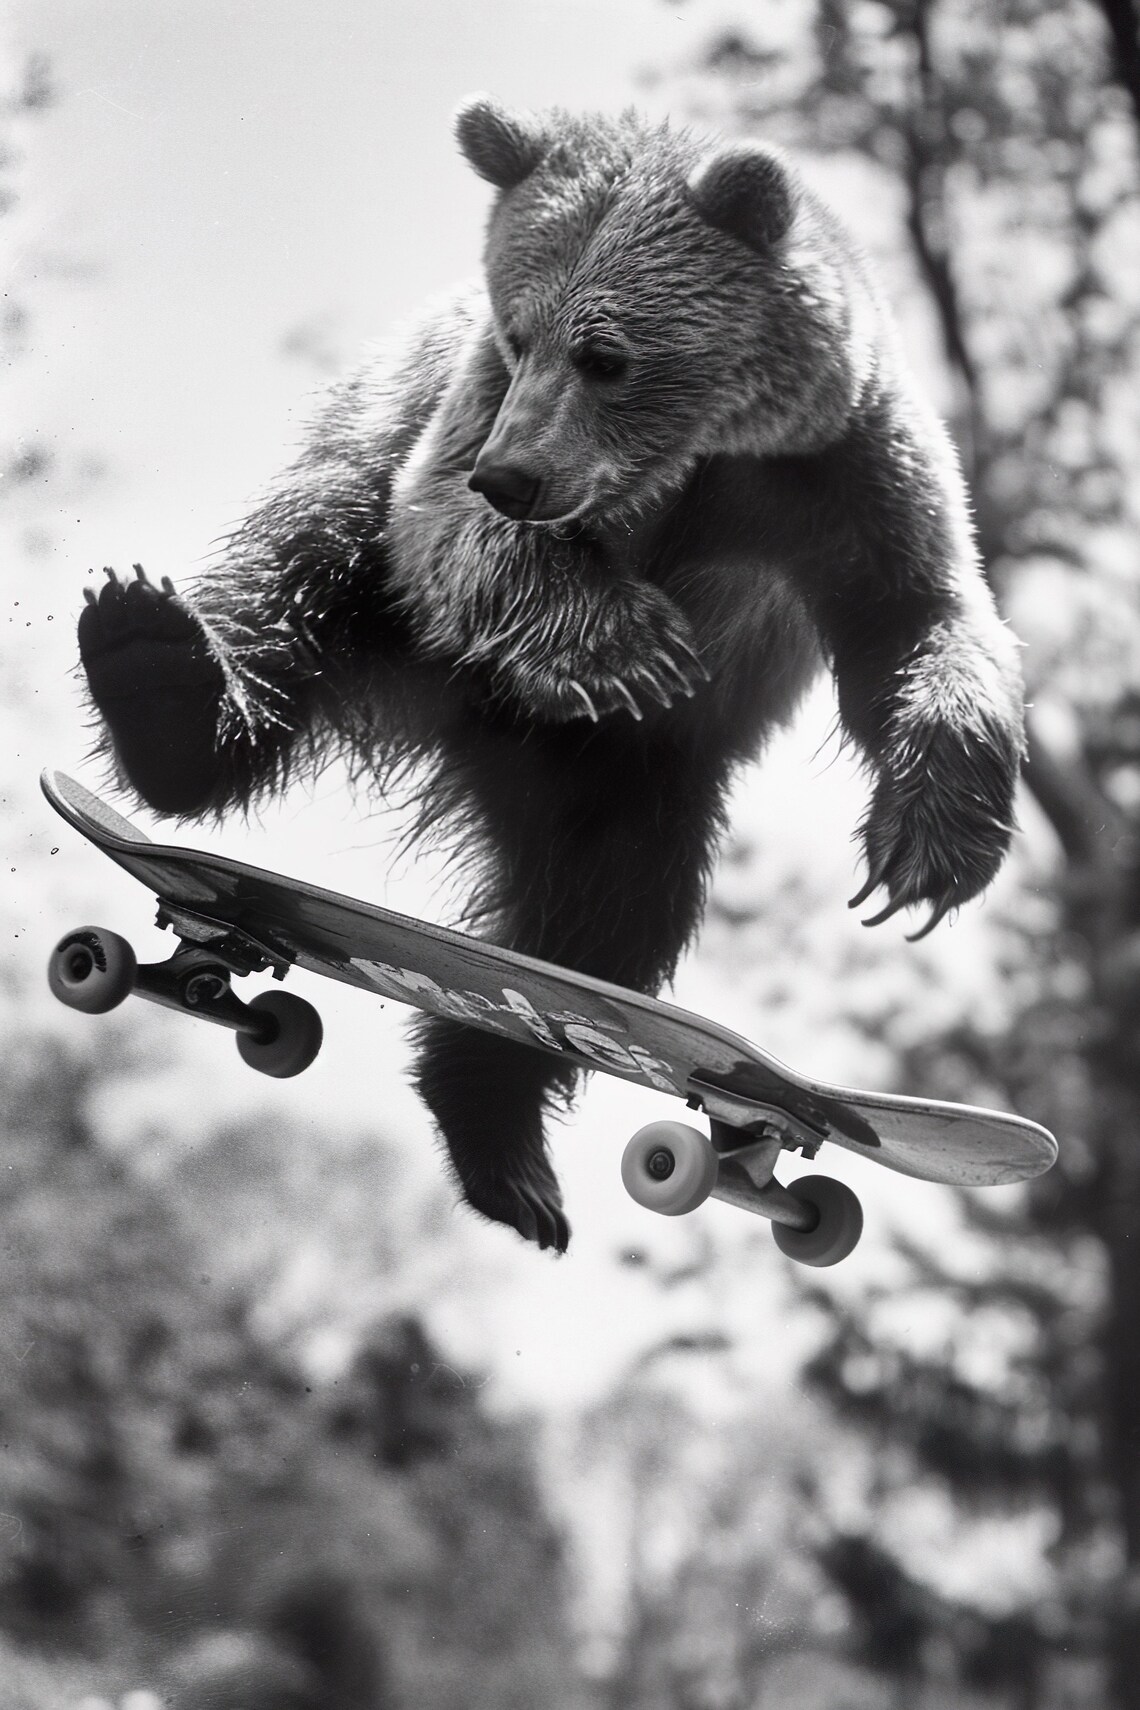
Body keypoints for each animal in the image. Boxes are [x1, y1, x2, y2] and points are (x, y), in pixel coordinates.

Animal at [78, 96, 1026, 1253]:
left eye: (605, 352)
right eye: (519, 331)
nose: (515, 475)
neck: (692, 457)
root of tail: (457, 727)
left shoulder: (837, 477)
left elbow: (919, 624)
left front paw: (925, 855)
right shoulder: (466, 420)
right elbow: (448, 527)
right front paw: (632, 643)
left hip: (621, 780)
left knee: (608, 924)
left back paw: (505, 1145)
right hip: (368, 544)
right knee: (292, 578)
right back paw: (155, 671)